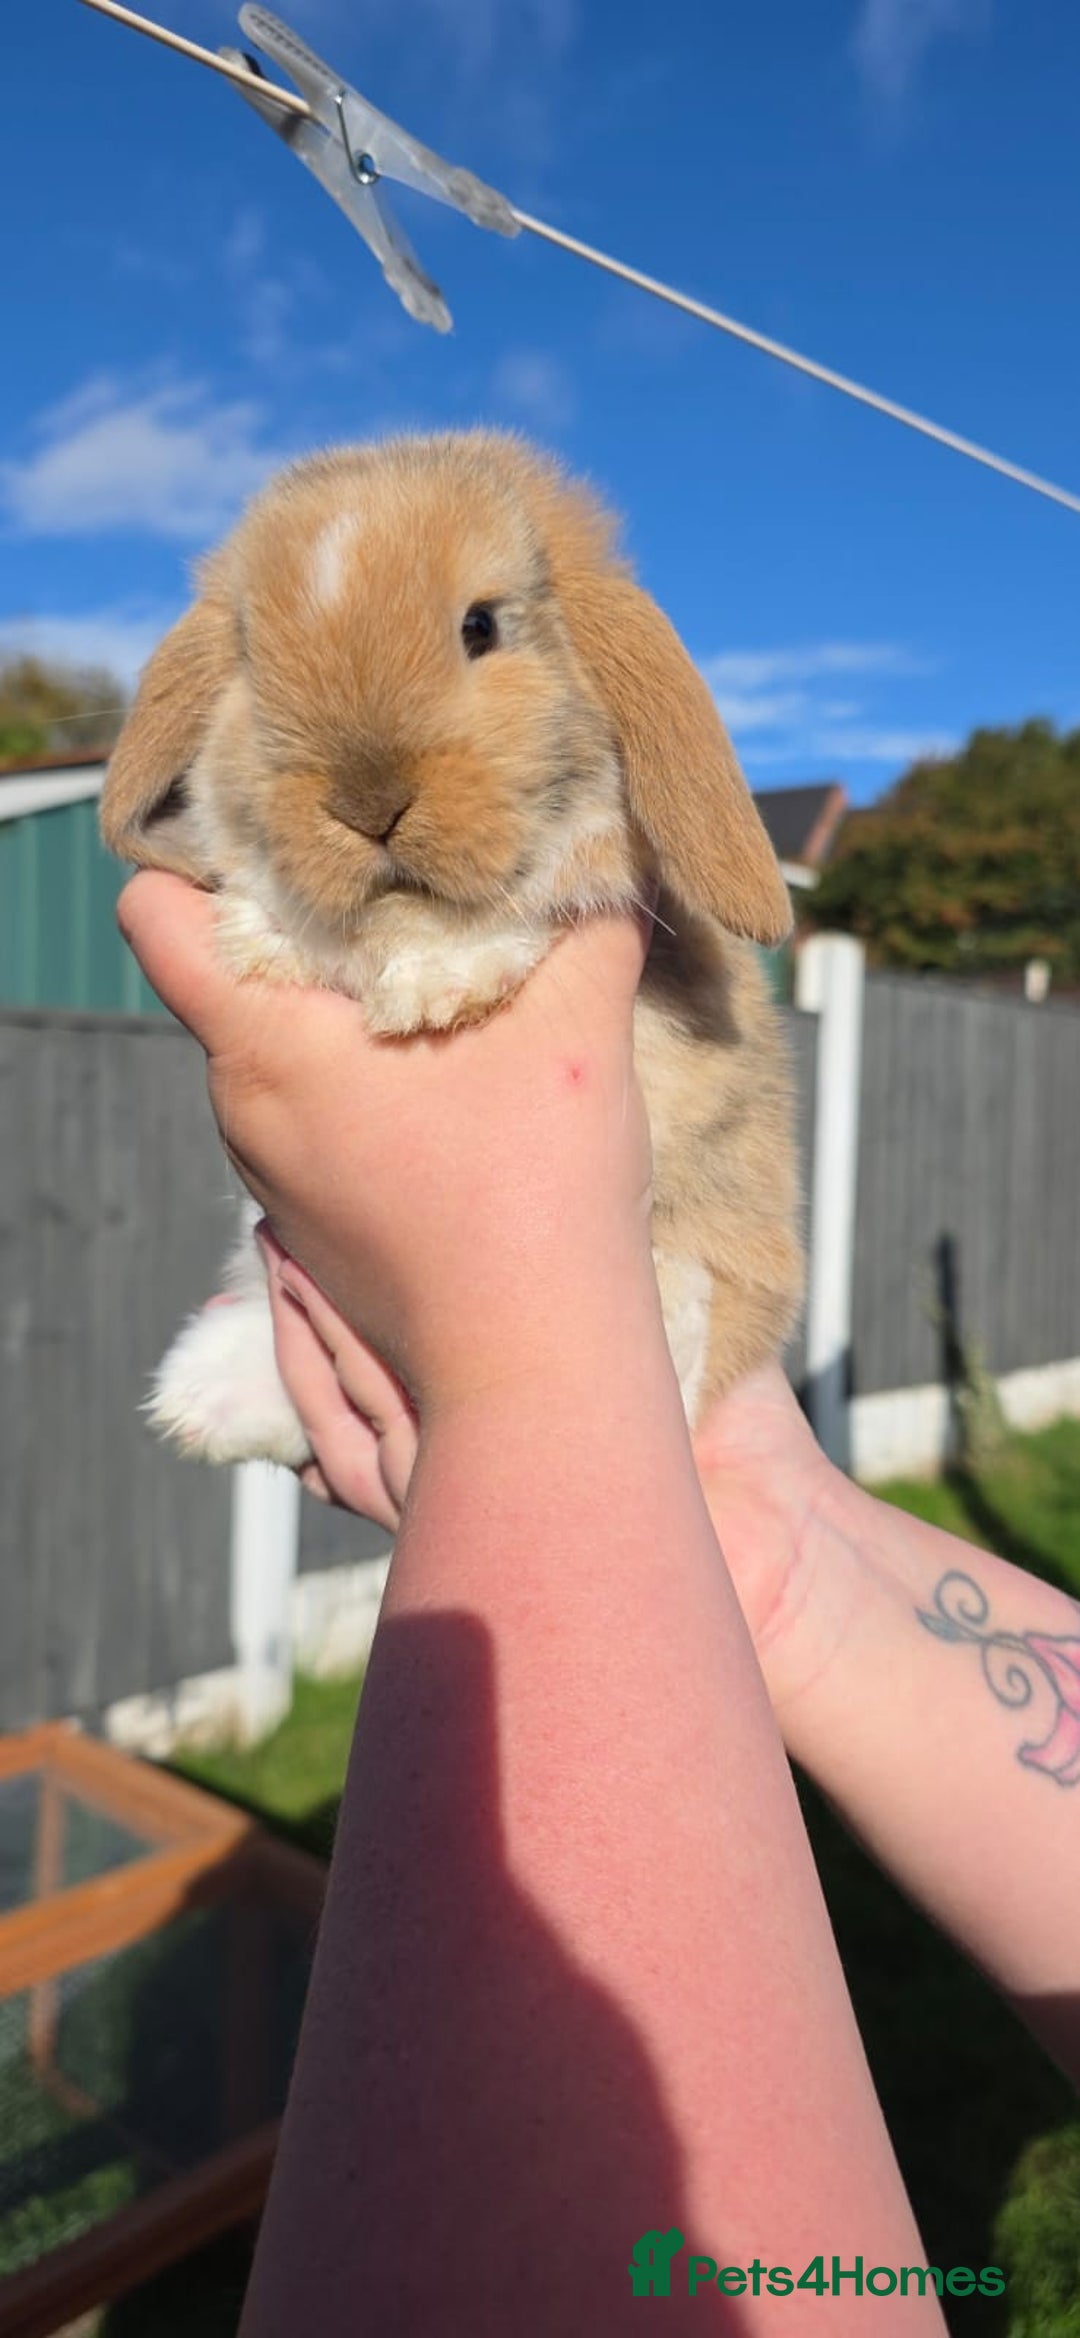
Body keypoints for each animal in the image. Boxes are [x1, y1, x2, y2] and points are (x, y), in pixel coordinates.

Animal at [100, 430, 803, 1469]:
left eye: (481, 626)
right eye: (250, 657)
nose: (367, 803)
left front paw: (432, 987)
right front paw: (271, 936)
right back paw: (201, 1399)